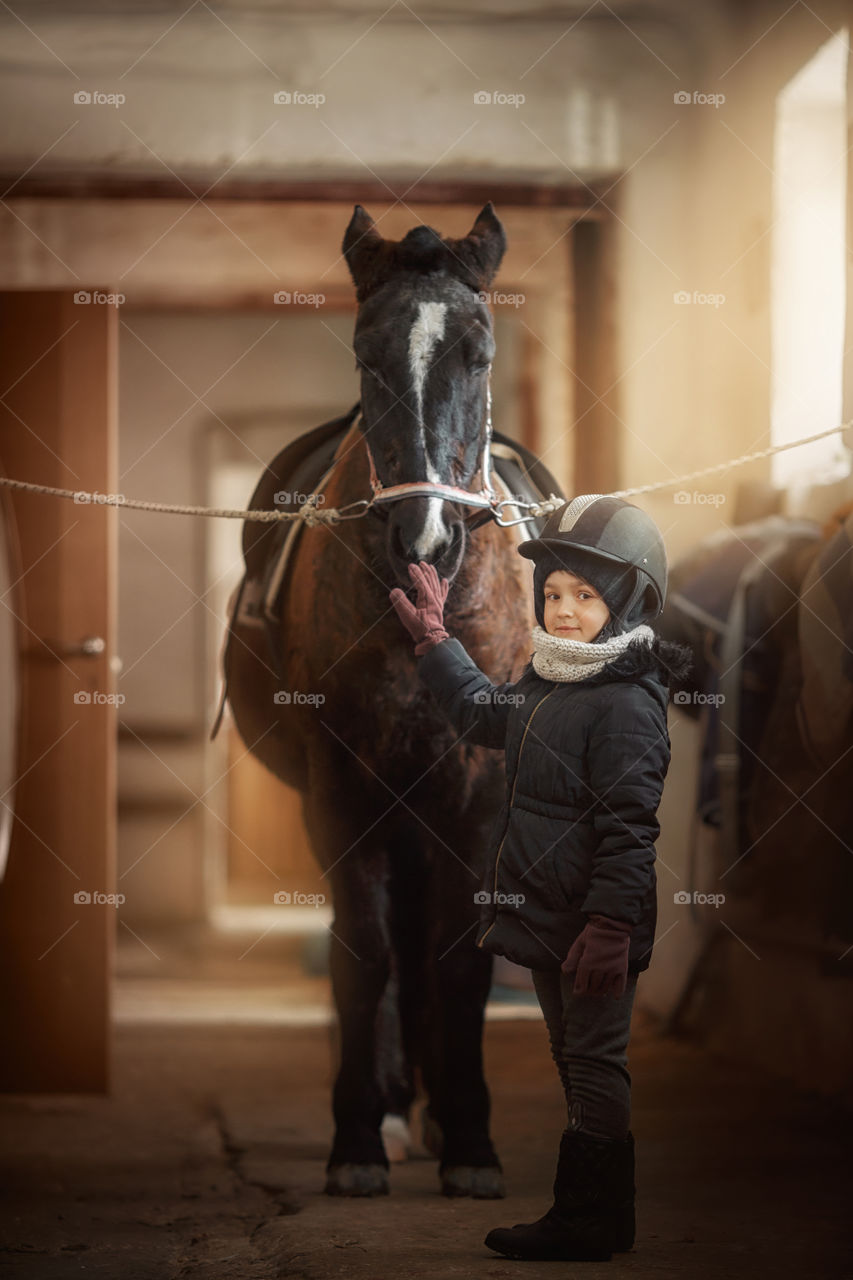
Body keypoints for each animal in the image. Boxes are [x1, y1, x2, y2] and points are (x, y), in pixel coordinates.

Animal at [216, 202, 560, 1198]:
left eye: (479, 354)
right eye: (365, 352)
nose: (425, 538)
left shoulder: (475, 789)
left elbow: (455, 954)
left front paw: (473, 1141)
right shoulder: (343, 786)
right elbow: (365, 952)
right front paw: (359, 1139)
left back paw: (435, 1112)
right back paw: (404, 1108)